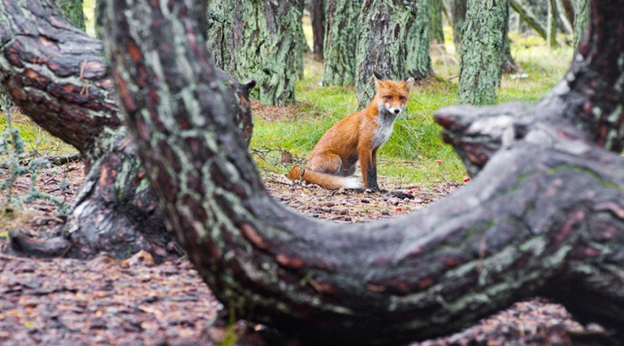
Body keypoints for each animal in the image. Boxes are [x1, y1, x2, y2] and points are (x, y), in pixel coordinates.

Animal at [286, 72, 414, 191]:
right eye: (388, 96)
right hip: (335, 160)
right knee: (317, 177)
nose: (397, 110)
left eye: (402, 97)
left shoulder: (374, 149)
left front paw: (377, 188)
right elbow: (367, 172)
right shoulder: (364, 147)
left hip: (351, 168)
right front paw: (369, 188)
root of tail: (306, 167)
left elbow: (374, 172)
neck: (382, 124)